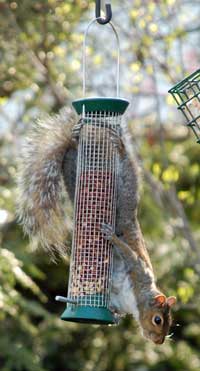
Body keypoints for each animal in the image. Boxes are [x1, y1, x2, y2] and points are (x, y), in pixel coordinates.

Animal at [17, 107, 177, 346]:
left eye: (170, 323)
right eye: (158, 320)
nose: (158, 341)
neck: (135, 300)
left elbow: (114, 308)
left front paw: (115, 317)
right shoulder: (138, 270)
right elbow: (127, 252)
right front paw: (111, 237)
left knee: (70, 170)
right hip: (125, 196)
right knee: (124, 170)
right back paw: (109, 145)